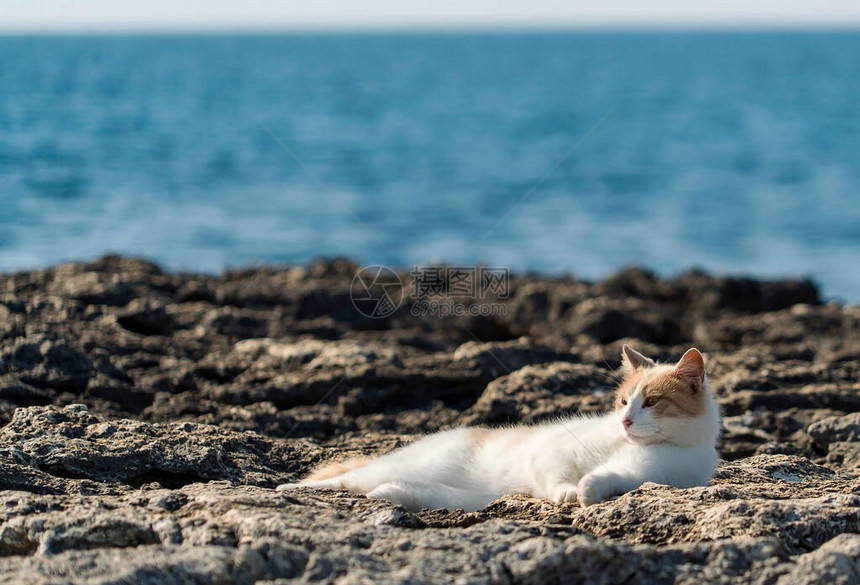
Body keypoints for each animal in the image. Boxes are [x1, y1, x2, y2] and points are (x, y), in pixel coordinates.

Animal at [278, 344, 724, 508]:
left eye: (652, 402)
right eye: (622, 401)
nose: (626, 420)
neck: (633, 446)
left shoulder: (648, 473)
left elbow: (607, 479)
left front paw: (586, 491)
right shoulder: (553, 450)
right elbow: (557, 474)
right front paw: (566, 491)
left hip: (452, 495)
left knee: (381, 486)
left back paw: (385, 495)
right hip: (407, 464)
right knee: (344, 478)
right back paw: (292, 488)